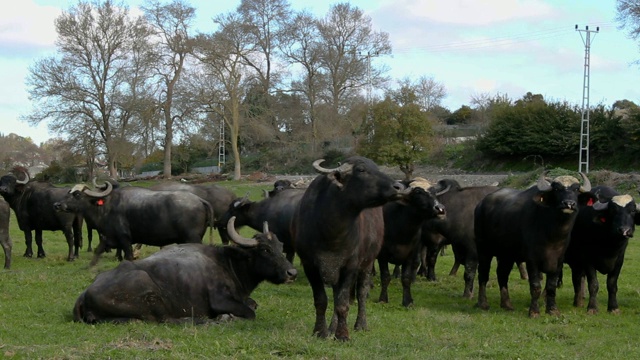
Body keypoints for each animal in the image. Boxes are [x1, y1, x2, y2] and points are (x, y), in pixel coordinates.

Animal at [53, 181, 214, 262]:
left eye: (77, 194)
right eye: (69, 192)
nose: (57, 205)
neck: (107, 207)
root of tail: (200, 200)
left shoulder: (125, 239)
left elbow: (129, 257)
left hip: (192, 238)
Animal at [72, 217, 298, 324]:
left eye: (280, 246)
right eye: (265, 250)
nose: (292, 273)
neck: (228, 263)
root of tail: (84, 295)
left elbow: (253, 304)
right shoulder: (220, 300)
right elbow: (250, 312)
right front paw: (226, 317)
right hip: (150, 293)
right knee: (166, 320)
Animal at [292, 157, 402, 340]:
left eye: (377, 168)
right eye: (361, 170)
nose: (398, 187)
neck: (331, 232)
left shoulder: (350, 265)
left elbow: (343, 303)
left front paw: (343, 335)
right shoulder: (310, 265)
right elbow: (321, 301)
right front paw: (320, 331)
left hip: (367, 263)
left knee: (361, 293)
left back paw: (361, 324)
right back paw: (331, 327)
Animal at [376, 177, 444, 306]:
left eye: (434, 192)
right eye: (418, 192)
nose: (440, 209)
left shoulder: (410, 255)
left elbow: (406, 278)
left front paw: (407, 301)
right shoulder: (382, 256)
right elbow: (385, 277)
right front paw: (383, 299)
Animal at [476, 171, 596, 316]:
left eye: (576, 189)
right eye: (557, 189)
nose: (569, 204)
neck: (552, 234)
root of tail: (480, 205)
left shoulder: (558, 260)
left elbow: (551, 286)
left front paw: (552, 310)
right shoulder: (532, 260)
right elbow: (535, 286)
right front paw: (534, 311)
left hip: (506, 255)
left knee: (502, 274)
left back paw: (506, 304)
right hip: (483, 249)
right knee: (483, 274)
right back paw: (483, 303)